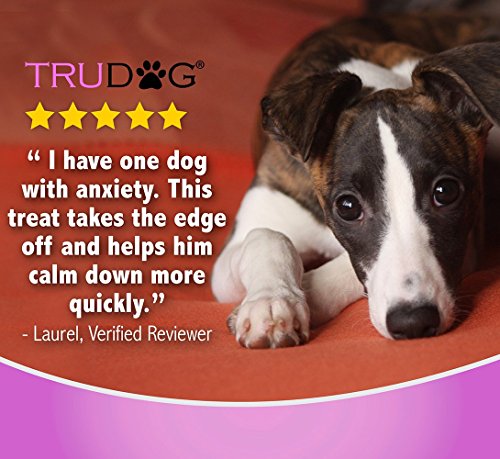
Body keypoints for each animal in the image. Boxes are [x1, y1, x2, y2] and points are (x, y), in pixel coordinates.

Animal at [211, 9, 500, 349]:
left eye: (446, 191)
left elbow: (348, 267)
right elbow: (267, 237)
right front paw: (270, 303)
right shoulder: (237, 248)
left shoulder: (467, 244)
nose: (414, 322)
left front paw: (302, 297)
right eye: (347, 207)